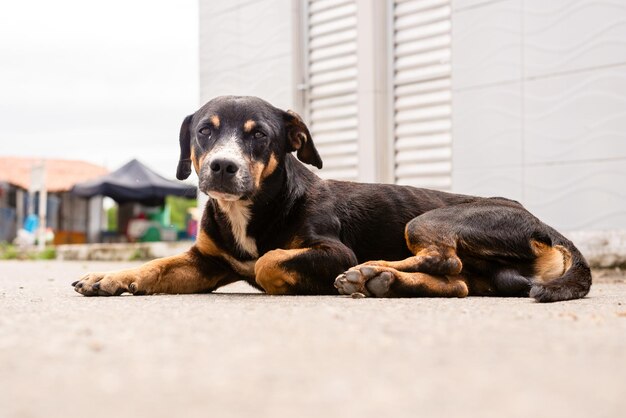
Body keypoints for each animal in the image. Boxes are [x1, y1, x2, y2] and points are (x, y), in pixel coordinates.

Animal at [72, 96, 588, 302]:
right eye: (205, 131)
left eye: (259, 135)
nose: (222, 167)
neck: (255, 208)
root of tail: (543, 224)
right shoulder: (205, 261)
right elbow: (155, 266)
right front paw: (109, 277)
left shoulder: (331, 249)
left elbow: (268, 261)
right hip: (486, 275)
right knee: (458, 282)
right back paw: (383, 282)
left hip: (431, 220)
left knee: (445, 259)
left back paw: (370, 272)